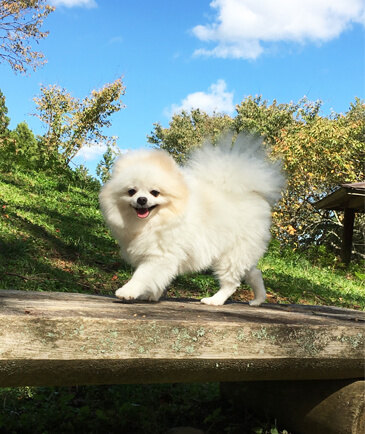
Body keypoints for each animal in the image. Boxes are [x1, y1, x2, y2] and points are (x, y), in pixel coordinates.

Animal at [99, 132, 284, 306]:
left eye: (155, 192)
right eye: (131, 191)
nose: (141, 200)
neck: (154, 222)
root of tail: (252, 194)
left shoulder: (160, 255)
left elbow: (142, 275)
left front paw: (127, 291)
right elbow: (157, 279)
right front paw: (151, 296)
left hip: (231, 255)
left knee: (231, 283)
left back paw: (215, 300)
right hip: (240, 255)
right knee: (254, 273)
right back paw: (258, 300)